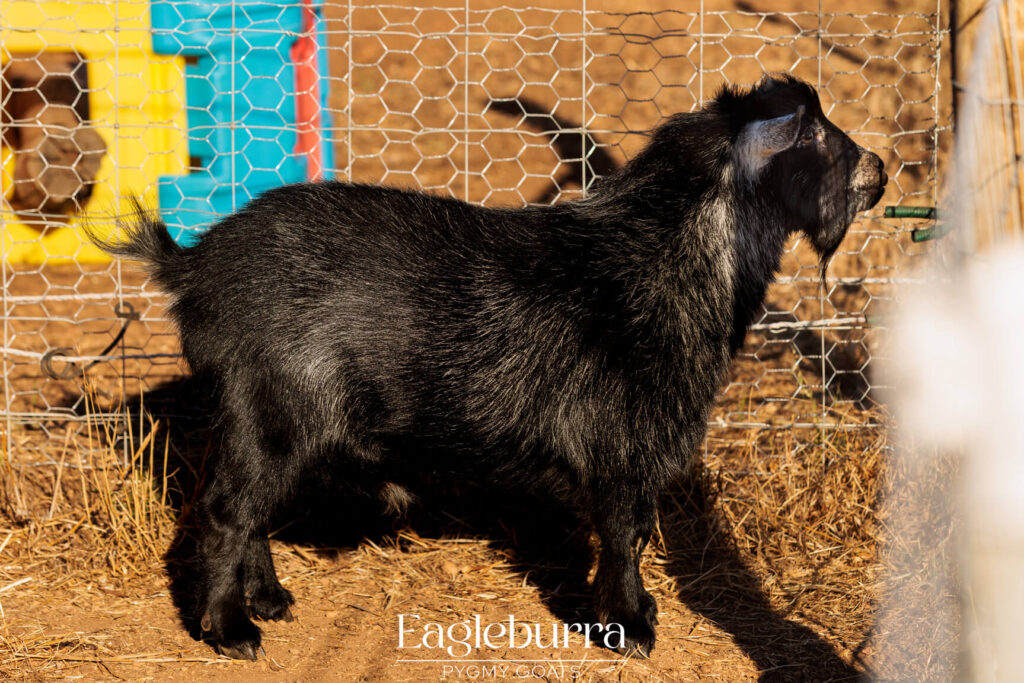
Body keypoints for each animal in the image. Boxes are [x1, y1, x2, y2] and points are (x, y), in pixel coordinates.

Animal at [92, 76, 884, 663]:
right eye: (823, 136)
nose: (878, 168)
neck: (665, 253)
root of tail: (194, 266)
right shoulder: (624, 443)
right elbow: (626, 533)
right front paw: (630, 626)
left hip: (271, 423)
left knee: (250, 510)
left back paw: (269, 599)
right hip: (275, 409)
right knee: (227, 511)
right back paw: (231, 629)